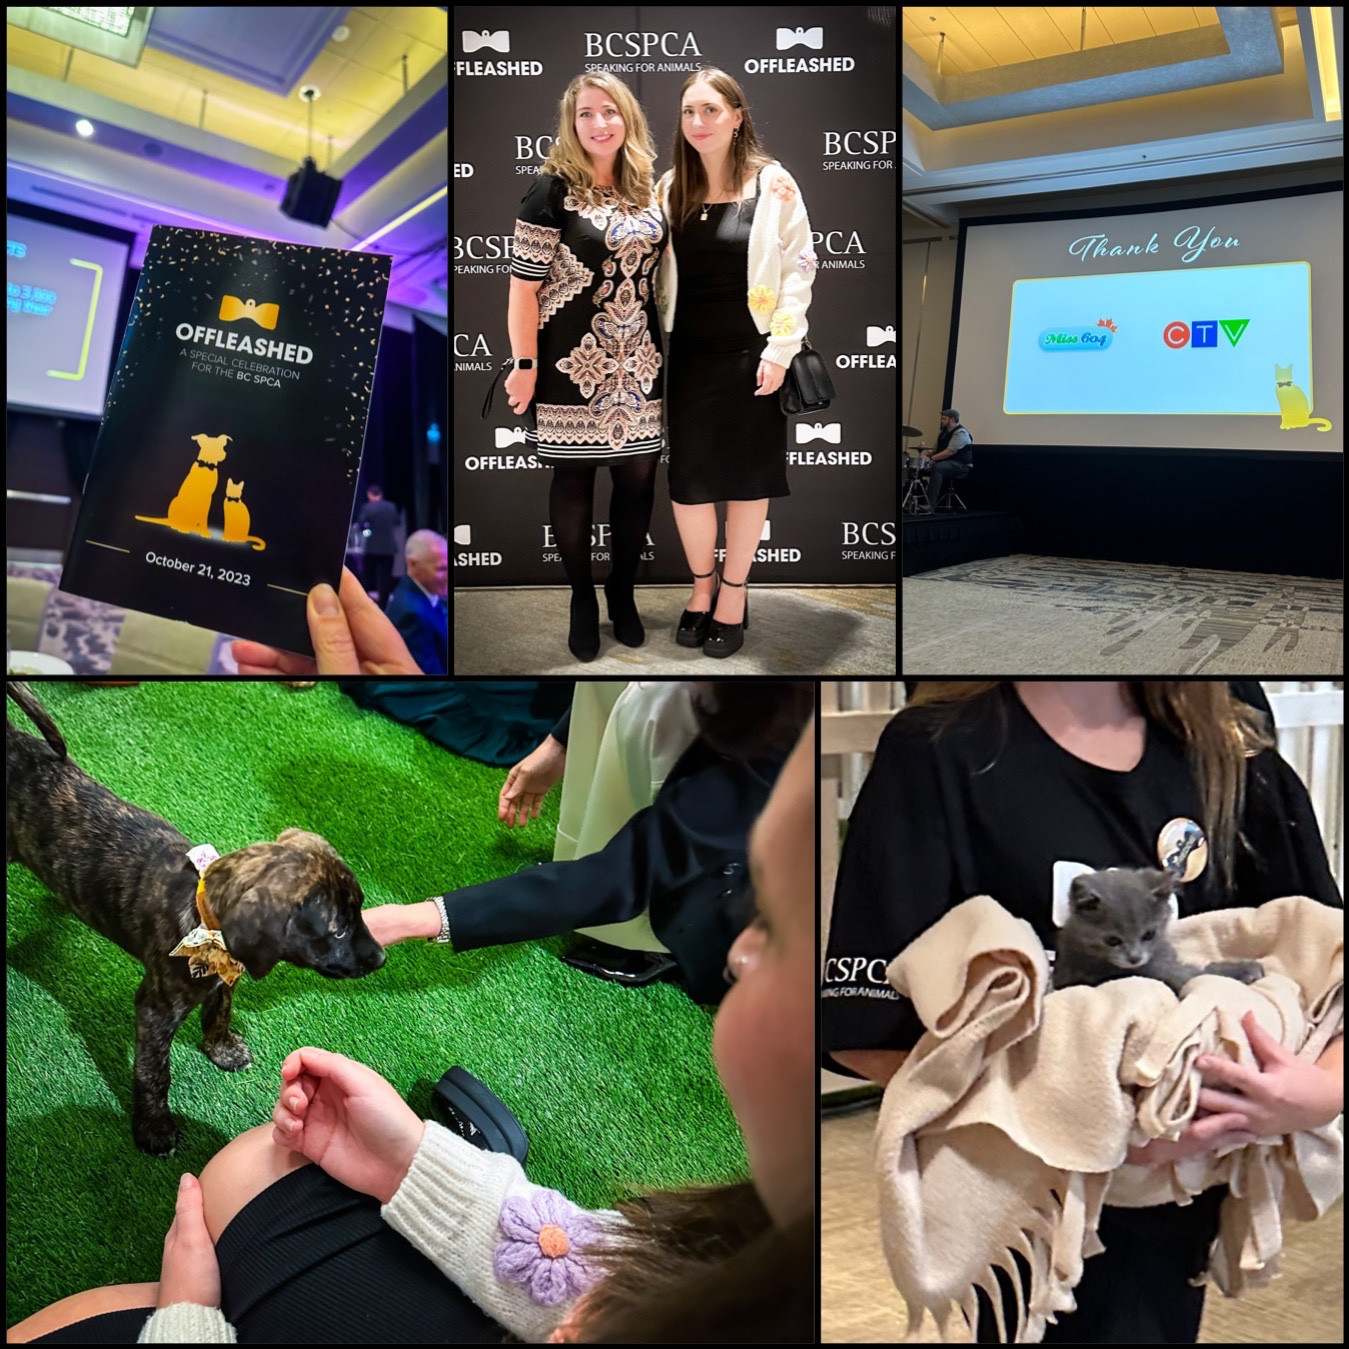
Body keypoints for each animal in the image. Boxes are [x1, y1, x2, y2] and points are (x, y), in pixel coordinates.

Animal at [6, 679, 385, 1154]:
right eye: (337, 930)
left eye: (359, 909)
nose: (381, 958)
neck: (203, 913)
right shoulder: (154, 1011)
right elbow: (154, 1073)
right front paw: (153, 1128)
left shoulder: (224, 973)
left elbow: (219, 1009)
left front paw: (221, 1048)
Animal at [1052, 868, 1262, 998]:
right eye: (1112, 940)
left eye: (1148, 934)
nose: (1134, 958)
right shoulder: (1172, 972)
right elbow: (1202, 974)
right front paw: (1246, 969)